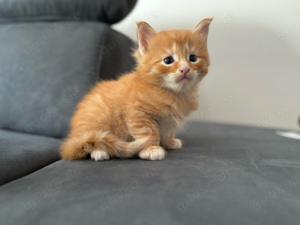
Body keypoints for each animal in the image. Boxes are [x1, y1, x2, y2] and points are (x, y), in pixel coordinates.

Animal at [59, 18, 212, 161]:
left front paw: (169, 142)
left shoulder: (169, 122)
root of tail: (71, 139)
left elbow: (169, 131)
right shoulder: (137, 114)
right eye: (168, 61)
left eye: (193, 58)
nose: (185, 69)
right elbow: (148, 133)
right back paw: (99, 152)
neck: (174, 93)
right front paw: (151, 149)